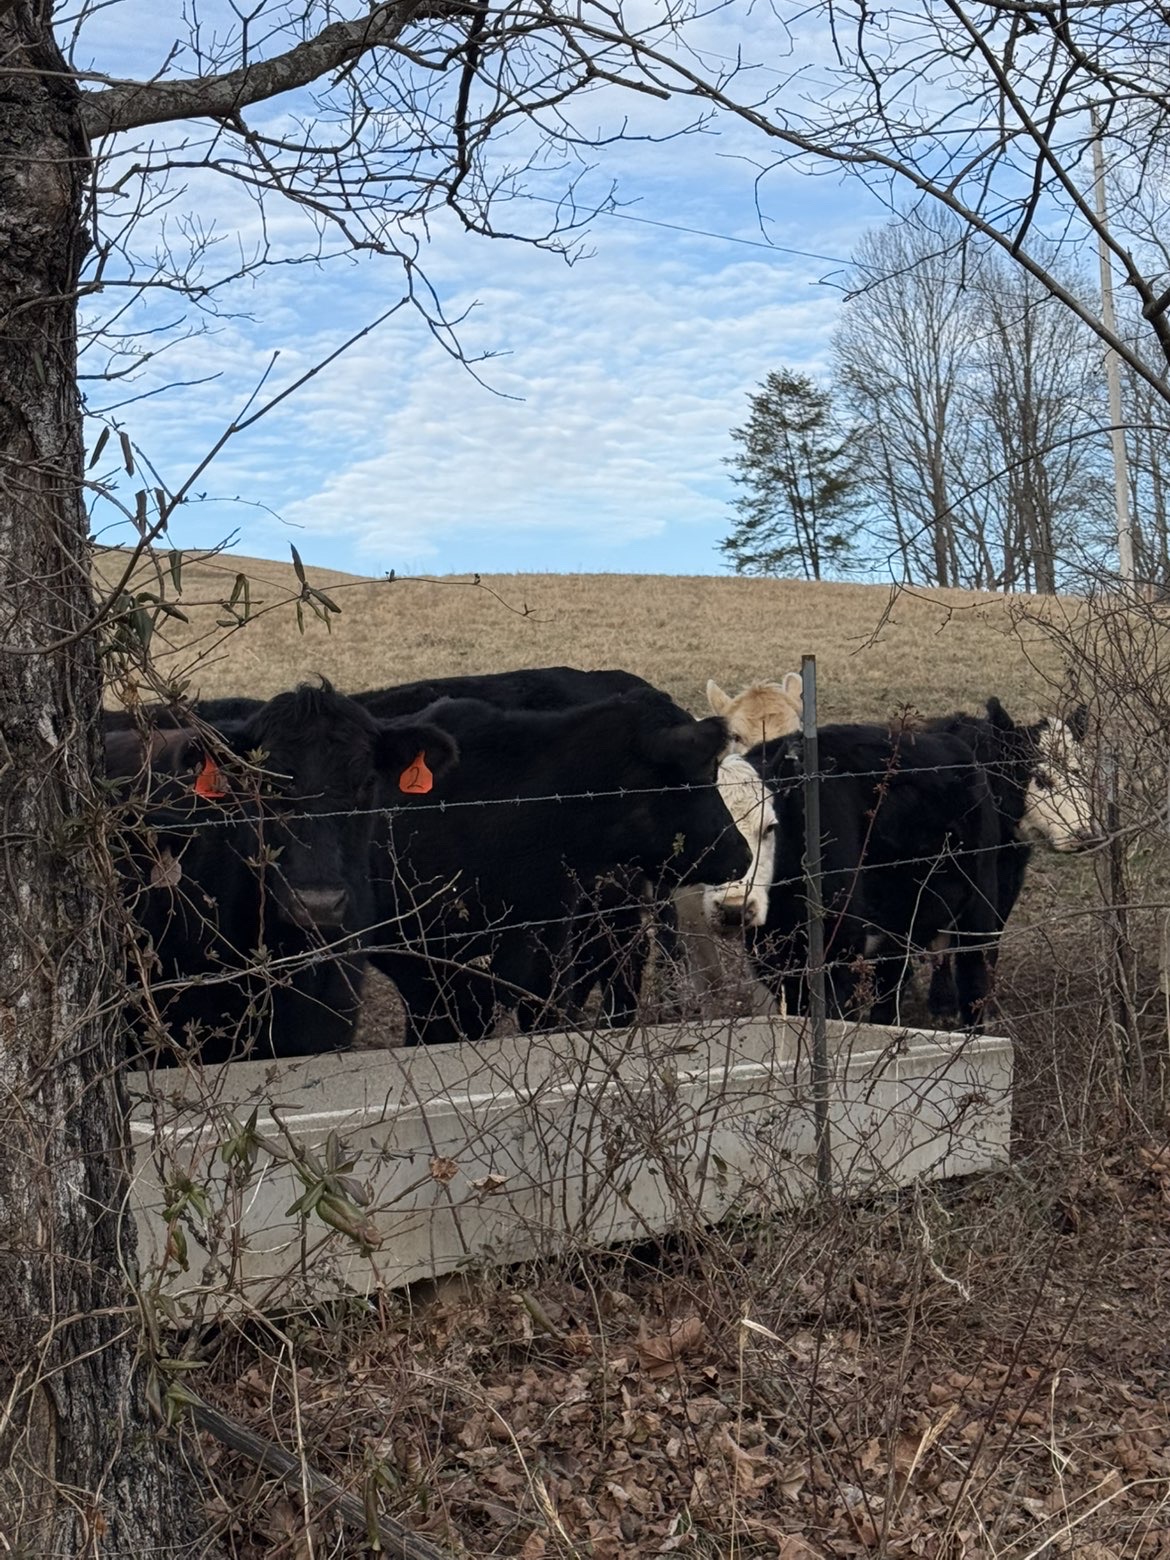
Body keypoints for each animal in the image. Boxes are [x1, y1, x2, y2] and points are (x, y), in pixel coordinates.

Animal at [739, 723, 1001, 1030]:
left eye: (770, 825)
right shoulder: (773, 962)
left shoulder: (841, 950)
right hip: (900, 927)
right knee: (892, 984)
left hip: (979, 912)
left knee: (974, 978)